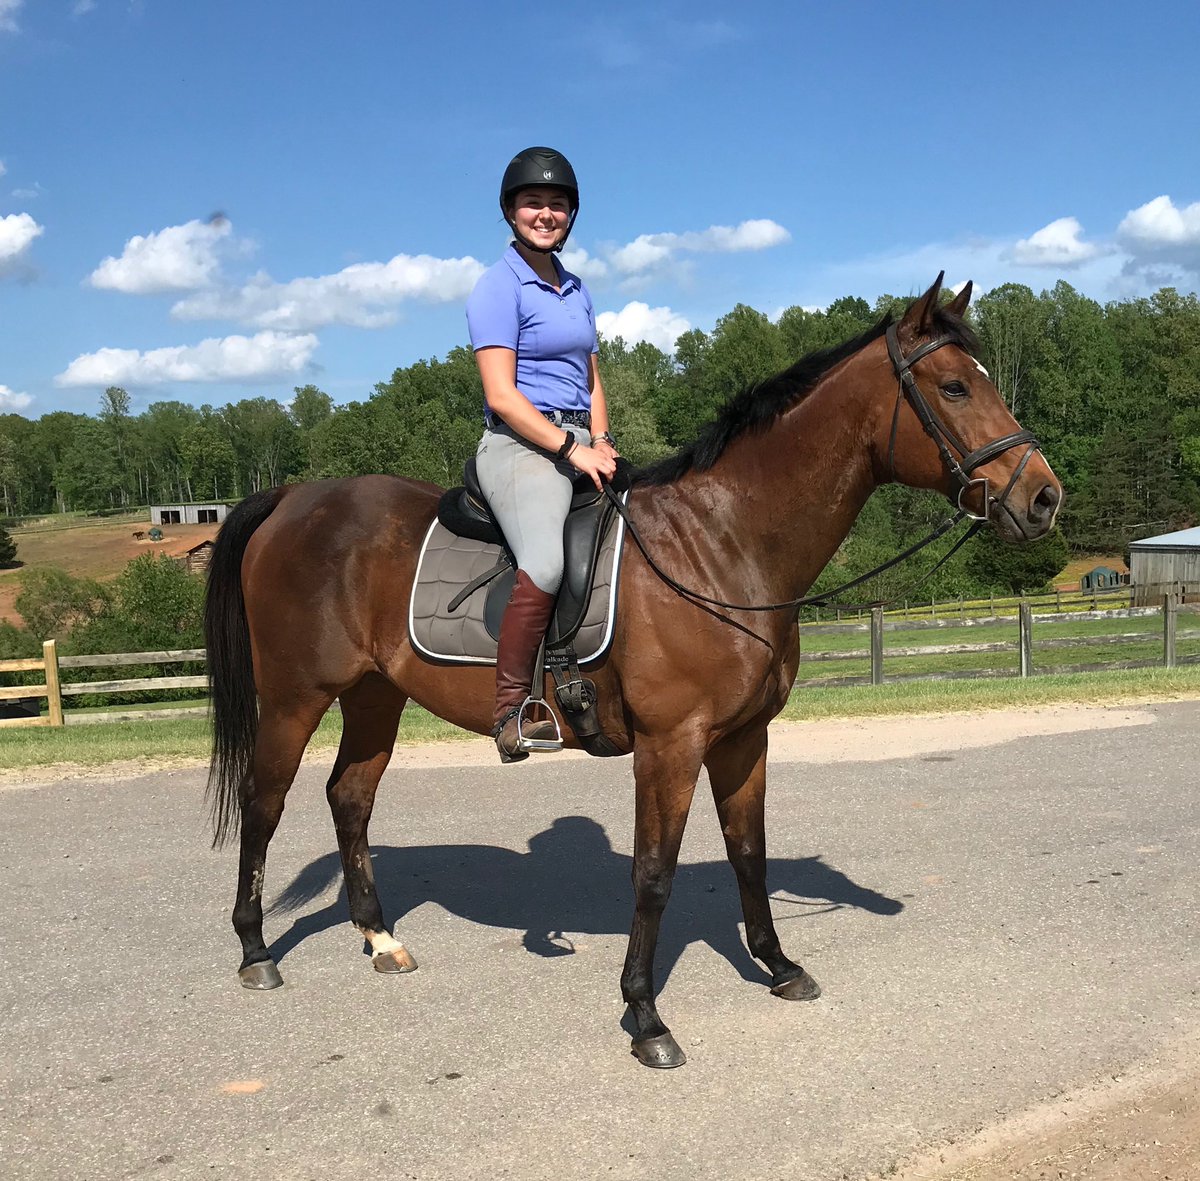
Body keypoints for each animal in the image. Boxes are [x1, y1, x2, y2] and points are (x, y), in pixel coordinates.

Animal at [204, 274, 1061, 1069]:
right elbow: (654, 873)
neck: (721, 542)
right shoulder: (669, 744)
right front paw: (645, 1014)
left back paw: (380, 939)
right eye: (955, 385)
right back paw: (254, 951)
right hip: (296, 696)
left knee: (349, 797)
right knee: (264, 802)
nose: (1044, 496)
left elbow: (748, 850)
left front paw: (778, 965)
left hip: (375, 694)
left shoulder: (744, 738)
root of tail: (294, 498)